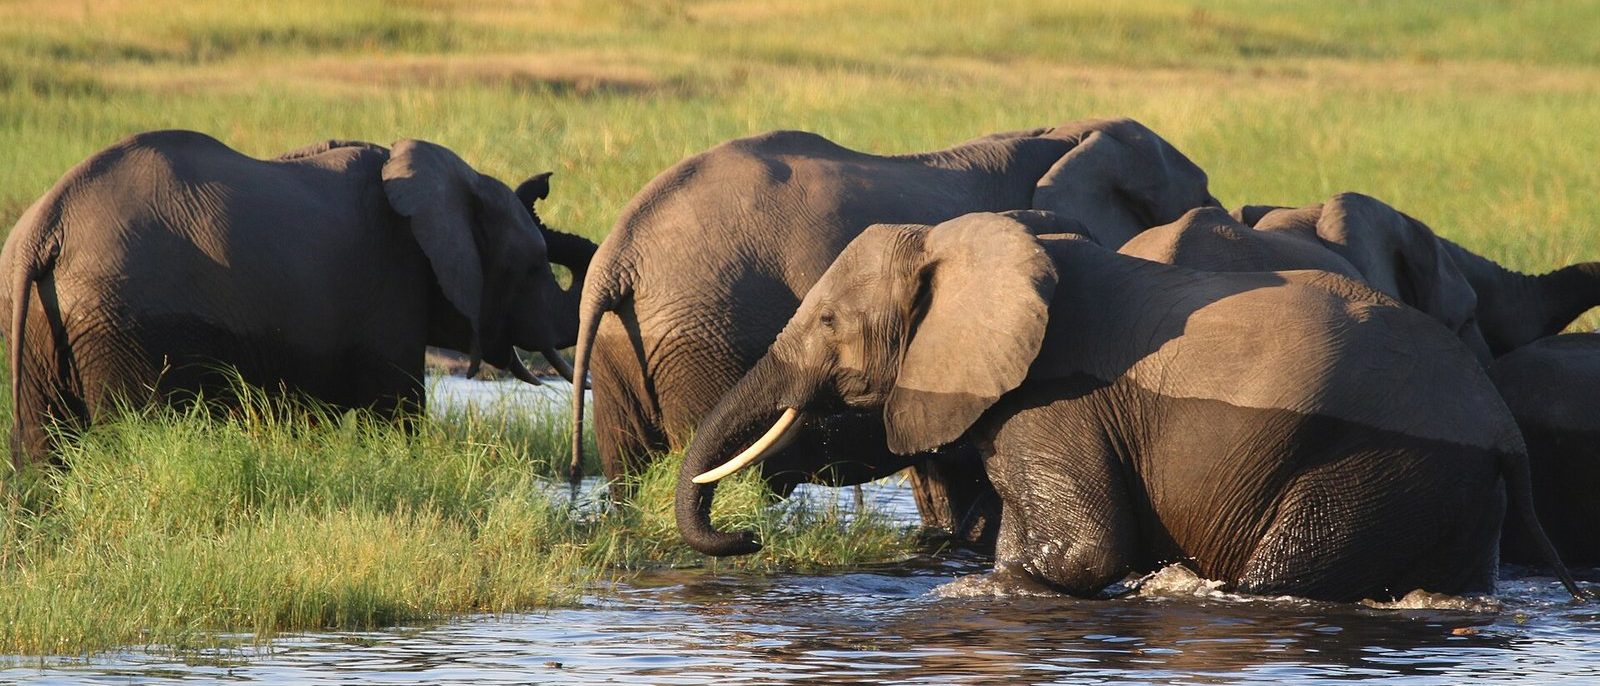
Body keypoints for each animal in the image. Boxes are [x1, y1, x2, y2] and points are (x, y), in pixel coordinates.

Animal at [0, 130, 596, 466]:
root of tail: (47, 224)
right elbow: (396, 413)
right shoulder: (390, 288)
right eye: (533, 266)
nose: (546, 181)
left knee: (43, 442)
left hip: (40, 320)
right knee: (129, 434)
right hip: (121, 319)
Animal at [677, 211, 1581, 602]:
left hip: (1365, 463)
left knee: (1288, 572)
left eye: (829, 324)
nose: (749, 538)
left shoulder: (1054, 400)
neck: (958, 239)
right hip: (1443, 483)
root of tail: (1499, 428)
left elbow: (1084, 552)